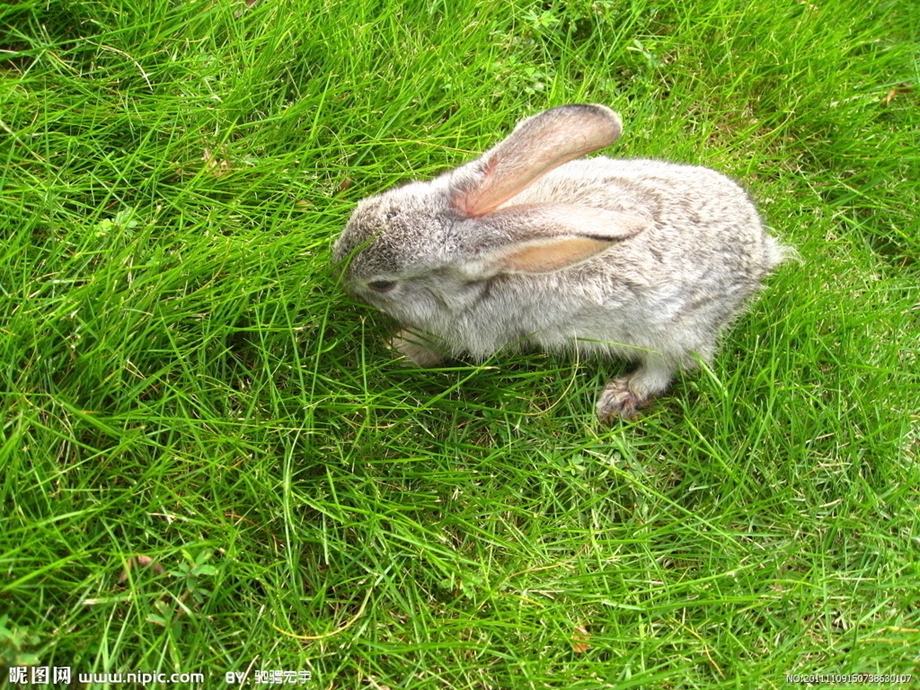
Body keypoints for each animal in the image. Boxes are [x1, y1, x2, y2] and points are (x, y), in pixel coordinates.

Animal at [334, 102, 788, 420]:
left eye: (383, 283)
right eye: (364, 208)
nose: (338, 270)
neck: (488, 277)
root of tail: (761, 252)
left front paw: (397, 348)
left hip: (676, 332)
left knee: (668, 368)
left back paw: (620, 396)